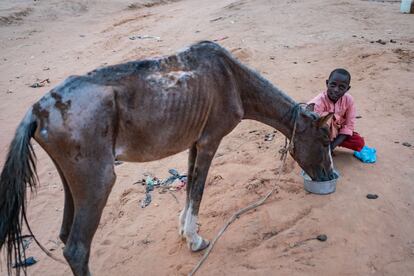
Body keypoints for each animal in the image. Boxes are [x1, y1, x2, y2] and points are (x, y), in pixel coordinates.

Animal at [0, 41, 334, 276]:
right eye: (325, 139)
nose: (330, 176)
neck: (233, 81)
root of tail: (37, 111)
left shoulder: (194, 143)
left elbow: (189, 187)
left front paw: (185, 231)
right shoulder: (211, 141)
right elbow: (198, 190)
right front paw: (195, 240)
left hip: (73, 179)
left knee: (66, 235)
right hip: (98, 181)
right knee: (77, 250)